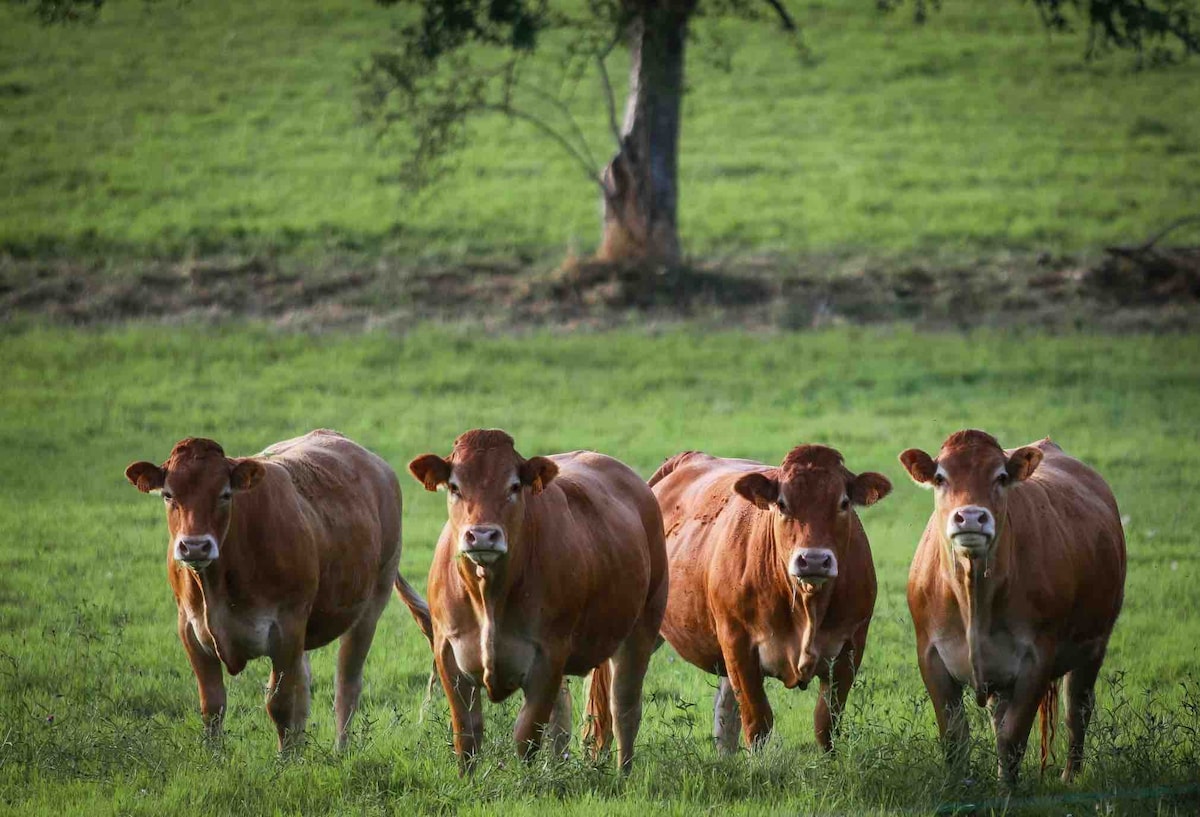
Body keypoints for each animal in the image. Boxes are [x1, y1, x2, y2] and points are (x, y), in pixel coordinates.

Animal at [124, 429, 434, 748]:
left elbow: (280, 704)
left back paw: (340, 750)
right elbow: (213, 707)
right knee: (305, 686)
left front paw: (285, 759)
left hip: (370, 605)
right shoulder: (189, 629)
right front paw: (214, 755)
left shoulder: (287, 628)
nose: (195, 546)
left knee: (346, 685)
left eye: (225, 494)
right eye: (168, 495)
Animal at [408, 429, 672, 767]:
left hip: (641, 628)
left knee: (624, 711)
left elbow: (527, 736)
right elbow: (466, 736)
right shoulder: (448, 653)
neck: (489, 596)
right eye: (455, 486)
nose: (482, 535)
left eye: (513, 486)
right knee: (562, 717)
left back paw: (622, 773)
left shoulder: (549, 655)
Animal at [648, 446, 892, 753]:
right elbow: (758, 721)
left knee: (725, 716)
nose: (814, 560)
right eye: (782, 504)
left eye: (844, 502)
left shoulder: (851, 648)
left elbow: (826, 723)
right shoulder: (738, 644)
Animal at [902, 427, 1123, 782]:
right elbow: (955, 737)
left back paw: (1070, 776)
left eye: (1001, 477)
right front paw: (957, 787)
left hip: (1094, 645)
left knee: (1077, 708)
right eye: (940, 477)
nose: (971, 517)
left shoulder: (1036, 661)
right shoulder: (931, 656)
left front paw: (1007, 790)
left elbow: (1013, 738)